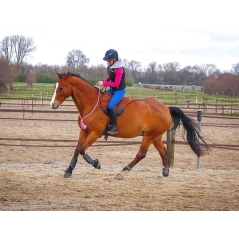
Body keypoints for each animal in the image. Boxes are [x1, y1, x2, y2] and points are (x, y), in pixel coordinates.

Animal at [50, 72, 209, 178]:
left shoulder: (95, 133)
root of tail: (166, 108)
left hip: (149, 136)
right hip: (156, 136)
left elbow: (83, 150)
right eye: (55, 86)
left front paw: (96, 163)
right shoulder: (84, 132)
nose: (53, 104)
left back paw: (125, 169)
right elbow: (77, 150)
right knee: (163, 152)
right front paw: (69, 170)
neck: (91, 103)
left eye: (61, 88)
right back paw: (165, 171)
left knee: (141, 154)